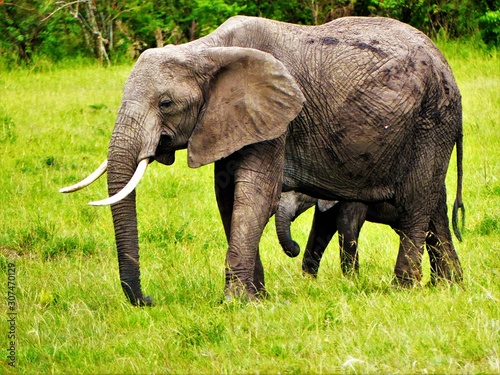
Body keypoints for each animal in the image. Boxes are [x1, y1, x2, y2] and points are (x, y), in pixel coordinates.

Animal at [61, 16, 464, 306]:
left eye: (166, 103)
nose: (146, 299)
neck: (206, 50)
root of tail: (447, 66)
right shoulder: (231, 119)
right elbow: (227, 198)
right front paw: (258, 299)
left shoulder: (277, 119)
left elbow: (254, 195)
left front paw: (235, 303)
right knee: (434, 206)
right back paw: (449, 286)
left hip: (432, 118)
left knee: (415, 202)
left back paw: (404, 289)